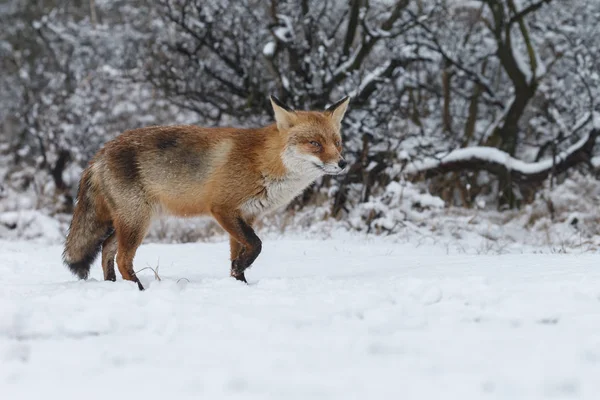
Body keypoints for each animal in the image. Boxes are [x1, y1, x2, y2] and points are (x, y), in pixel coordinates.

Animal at [62, 95, 350, 290]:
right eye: (314, 143)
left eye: (336, 143)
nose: (343, 163)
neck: (263, 162)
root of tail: (100, 152)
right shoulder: (222, 209)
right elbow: (256, 245)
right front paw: (241, 271)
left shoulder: (246, 216)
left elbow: (239, 254)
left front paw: (239, 283)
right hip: (137, 221)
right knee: (122, 258)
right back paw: (139, 289)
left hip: (131, 221)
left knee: (106, 249)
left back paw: (111, 285)